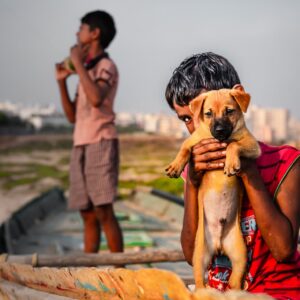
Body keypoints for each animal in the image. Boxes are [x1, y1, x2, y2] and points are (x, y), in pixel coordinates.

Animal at [165, 86, 262, 290]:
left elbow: (234, 144)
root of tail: (219, 245)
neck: (219, 139)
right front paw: (175, 166)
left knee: (234, 281)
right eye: (208, 114)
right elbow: (184, 148)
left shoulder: (251, 145)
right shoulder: (194, 141)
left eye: (229, 111)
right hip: (199, 256)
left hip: (240, 254)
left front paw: (231, 163)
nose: (219, 130)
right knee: (199, 282)